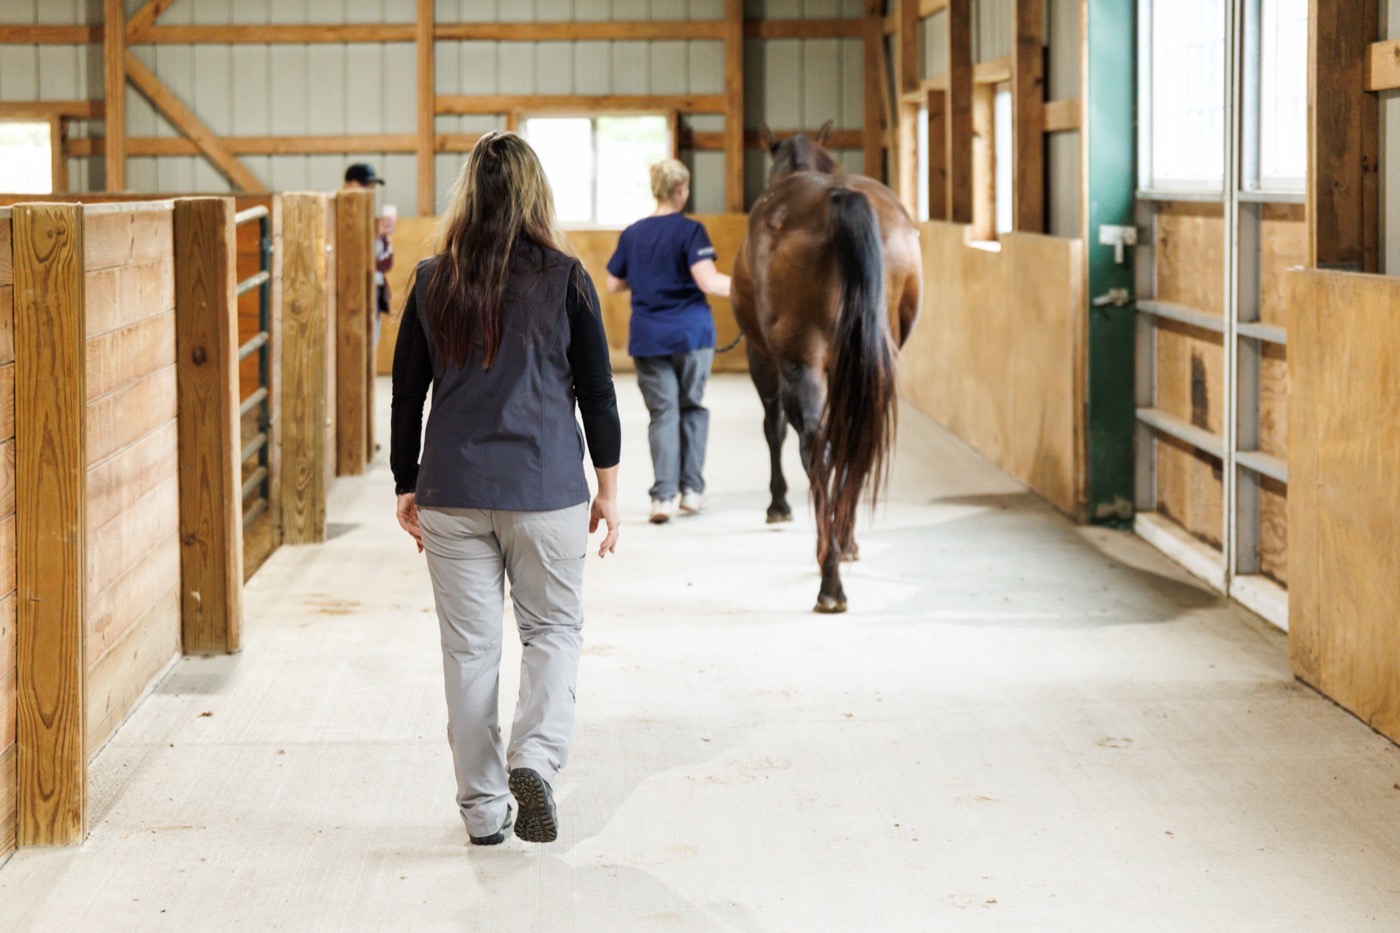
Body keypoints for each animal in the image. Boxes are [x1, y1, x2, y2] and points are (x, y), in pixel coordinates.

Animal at [730, 122, 922, 613]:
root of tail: (840, 196)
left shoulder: (763, 358)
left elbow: (773, 428)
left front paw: (778, 505)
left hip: (799, 363)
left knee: (817, 448)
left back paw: (829, 576)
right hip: (872, 367)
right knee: (856, 444)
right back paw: (845, 544)